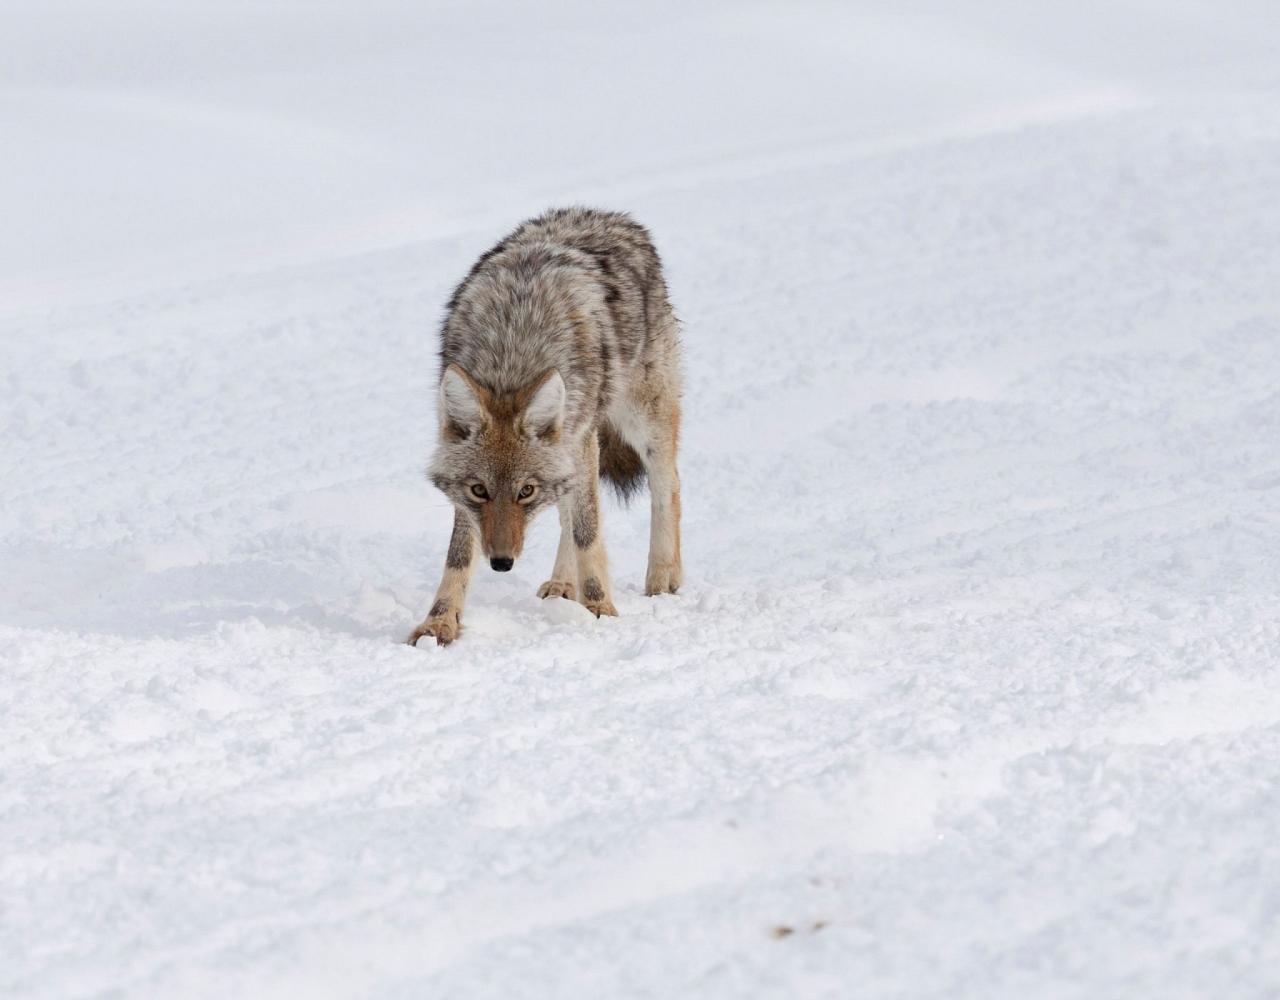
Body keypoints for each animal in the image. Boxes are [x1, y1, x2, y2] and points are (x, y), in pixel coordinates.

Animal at [407, 207, 683, 646]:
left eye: (526, 491)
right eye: (480, 490)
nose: (502, 563)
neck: (511, 358)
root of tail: (611, 215)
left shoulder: (584, 437)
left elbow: (588, 530)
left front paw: (600, 609)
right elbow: (459, 553)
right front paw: (440, 623)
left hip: (641, 421)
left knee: (667, 486)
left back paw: (661, 578)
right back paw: (562, 585)